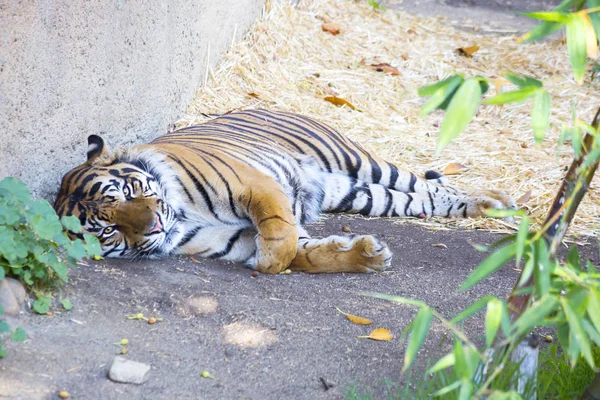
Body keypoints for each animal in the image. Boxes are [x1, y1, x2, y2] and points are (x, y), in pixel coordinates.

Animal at [55, 108, 516, 274]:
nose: (153, 226)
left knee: (423, 182)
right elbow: (304, 248)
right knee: (422, 198)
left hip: (359, 161)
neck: (180, 218)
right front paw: (367, 257)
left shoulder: (255, 185)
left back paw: (495, 202)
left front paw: (270, 263)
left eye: (130, 190)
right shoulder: (233, 239)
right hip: (358, 194)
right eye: (109, 230)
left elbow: (282, 233)